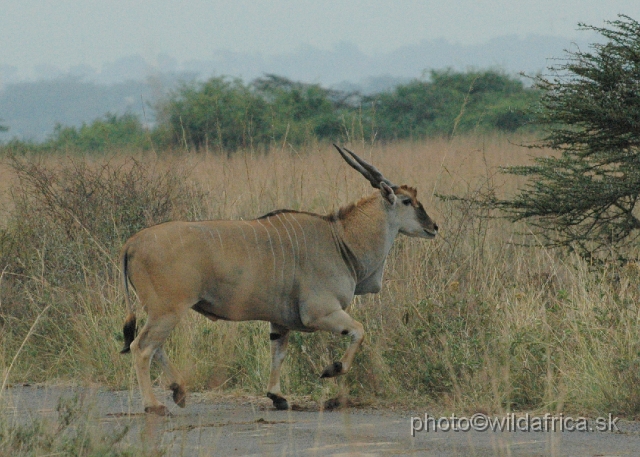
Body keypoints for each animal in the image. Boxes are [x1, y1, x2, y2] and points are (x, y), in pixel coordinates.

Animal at [120, 145, 438, 414]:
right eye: (408, 201)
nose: (434, 226)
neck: (340, 239)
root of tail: (132, 243)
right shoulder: (320, 313)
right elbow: (359, 331)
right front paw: (332, 369)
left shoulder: (280, 322)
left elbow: (278, 353)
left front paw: (278, 397)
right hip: (168, 310)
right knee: (142, 348)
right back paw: (154, 405)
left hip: (162, 312)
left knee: (155, 347)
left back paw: (179, 391)